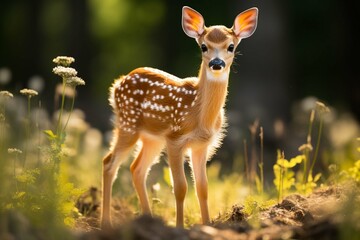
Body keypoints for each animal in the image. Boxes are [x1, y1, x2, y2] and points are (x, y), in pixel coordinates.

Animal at [101, 5, 258, 227]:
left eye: (231, 47)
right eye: (203, 46)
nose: (216, 63)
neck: (199, 114)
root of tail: (118, 83)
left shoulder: (202, 145)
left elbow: (203, 188)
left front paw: (207, 225)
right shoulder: (175, 139)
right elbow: (181, 188)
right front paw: (180, 227)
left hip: (153, 138)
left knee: (136, 169)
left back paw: (148, 220)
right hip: (128, 125)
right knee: (109, 163)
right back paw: (105, 223)